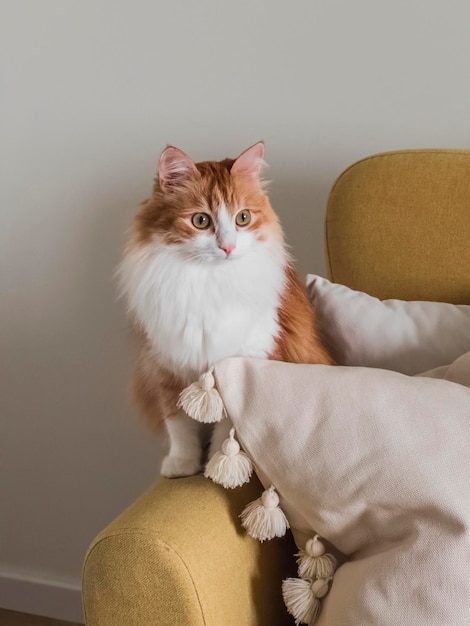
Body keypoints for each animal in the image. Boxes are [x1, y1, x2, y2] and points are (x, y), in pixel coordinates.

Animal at [118, 141, 330, 476]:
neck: (207, 283)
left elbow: (227, 430)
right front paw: (182, 465)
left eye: (242, 218)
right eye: (200, 221)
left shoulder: (244, 363)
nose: (228, 247)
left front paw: (216, 468)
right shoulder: (166, 366)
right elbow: (179, 426)